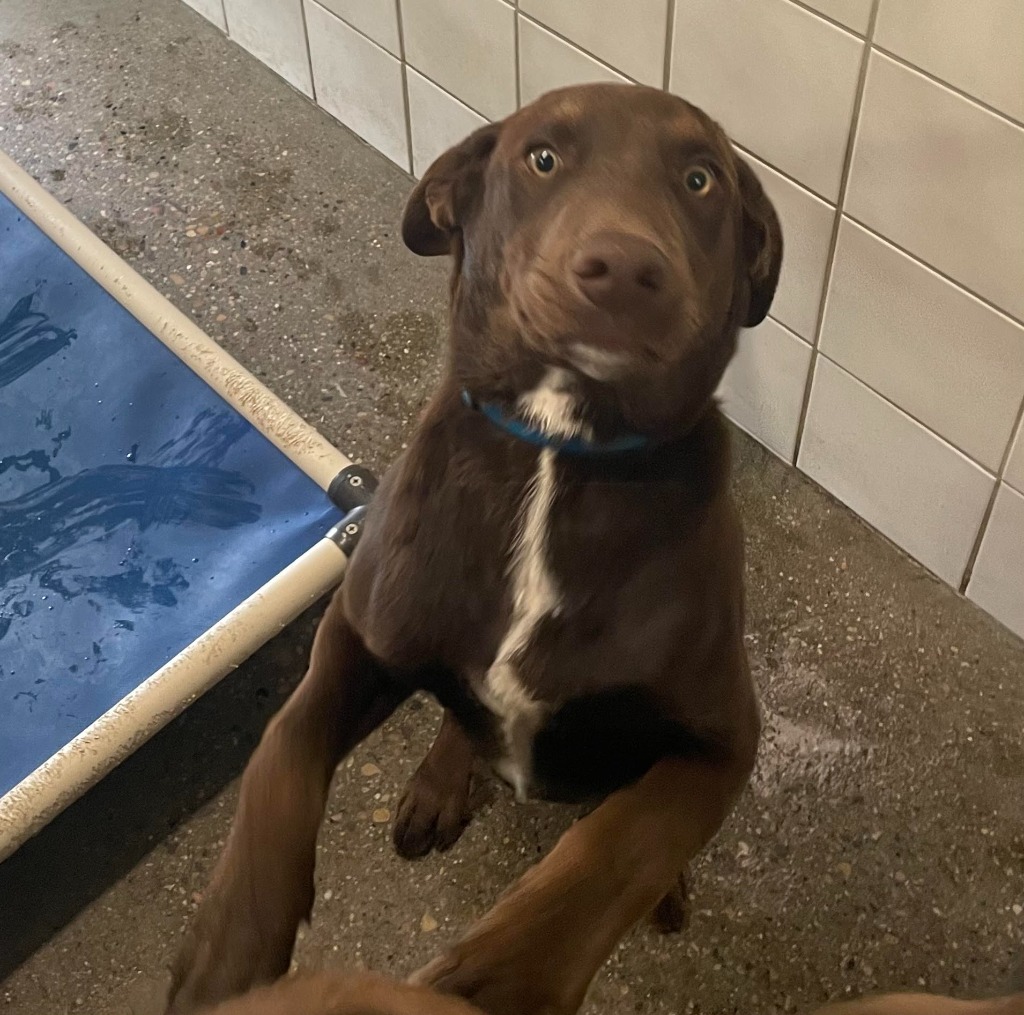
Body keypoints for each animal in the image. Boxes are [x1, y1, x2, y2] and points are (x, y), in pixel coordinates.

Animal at [165, 81, 774, 1015]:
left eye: (701, 178)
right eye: (543, 158)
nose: (624, 270)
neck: (560, 448)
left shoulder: (723, 740)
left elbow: (611, 856)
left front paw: (491, 979)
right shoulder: (356, 629)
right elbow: (279, 755)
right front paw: (227, 942)